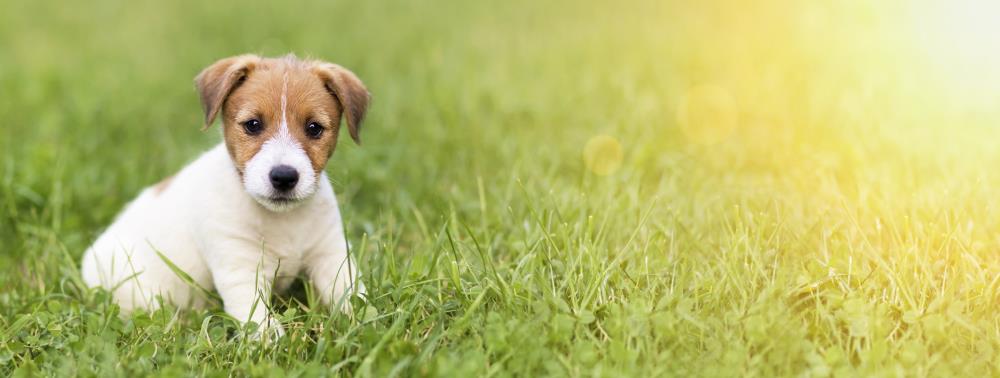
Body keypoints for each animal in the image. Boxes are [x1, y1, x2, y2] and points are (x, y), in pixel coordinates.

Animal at [81, 54, 372, 336]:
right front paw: (270, 341)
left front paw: (363, 325)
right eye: (253, 125)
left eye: (314, 128)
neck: (282, 220)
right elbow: (259, 321)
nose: (284, 177)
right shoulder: (239, 268)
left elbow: (352, 295)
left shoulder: (332, 255)